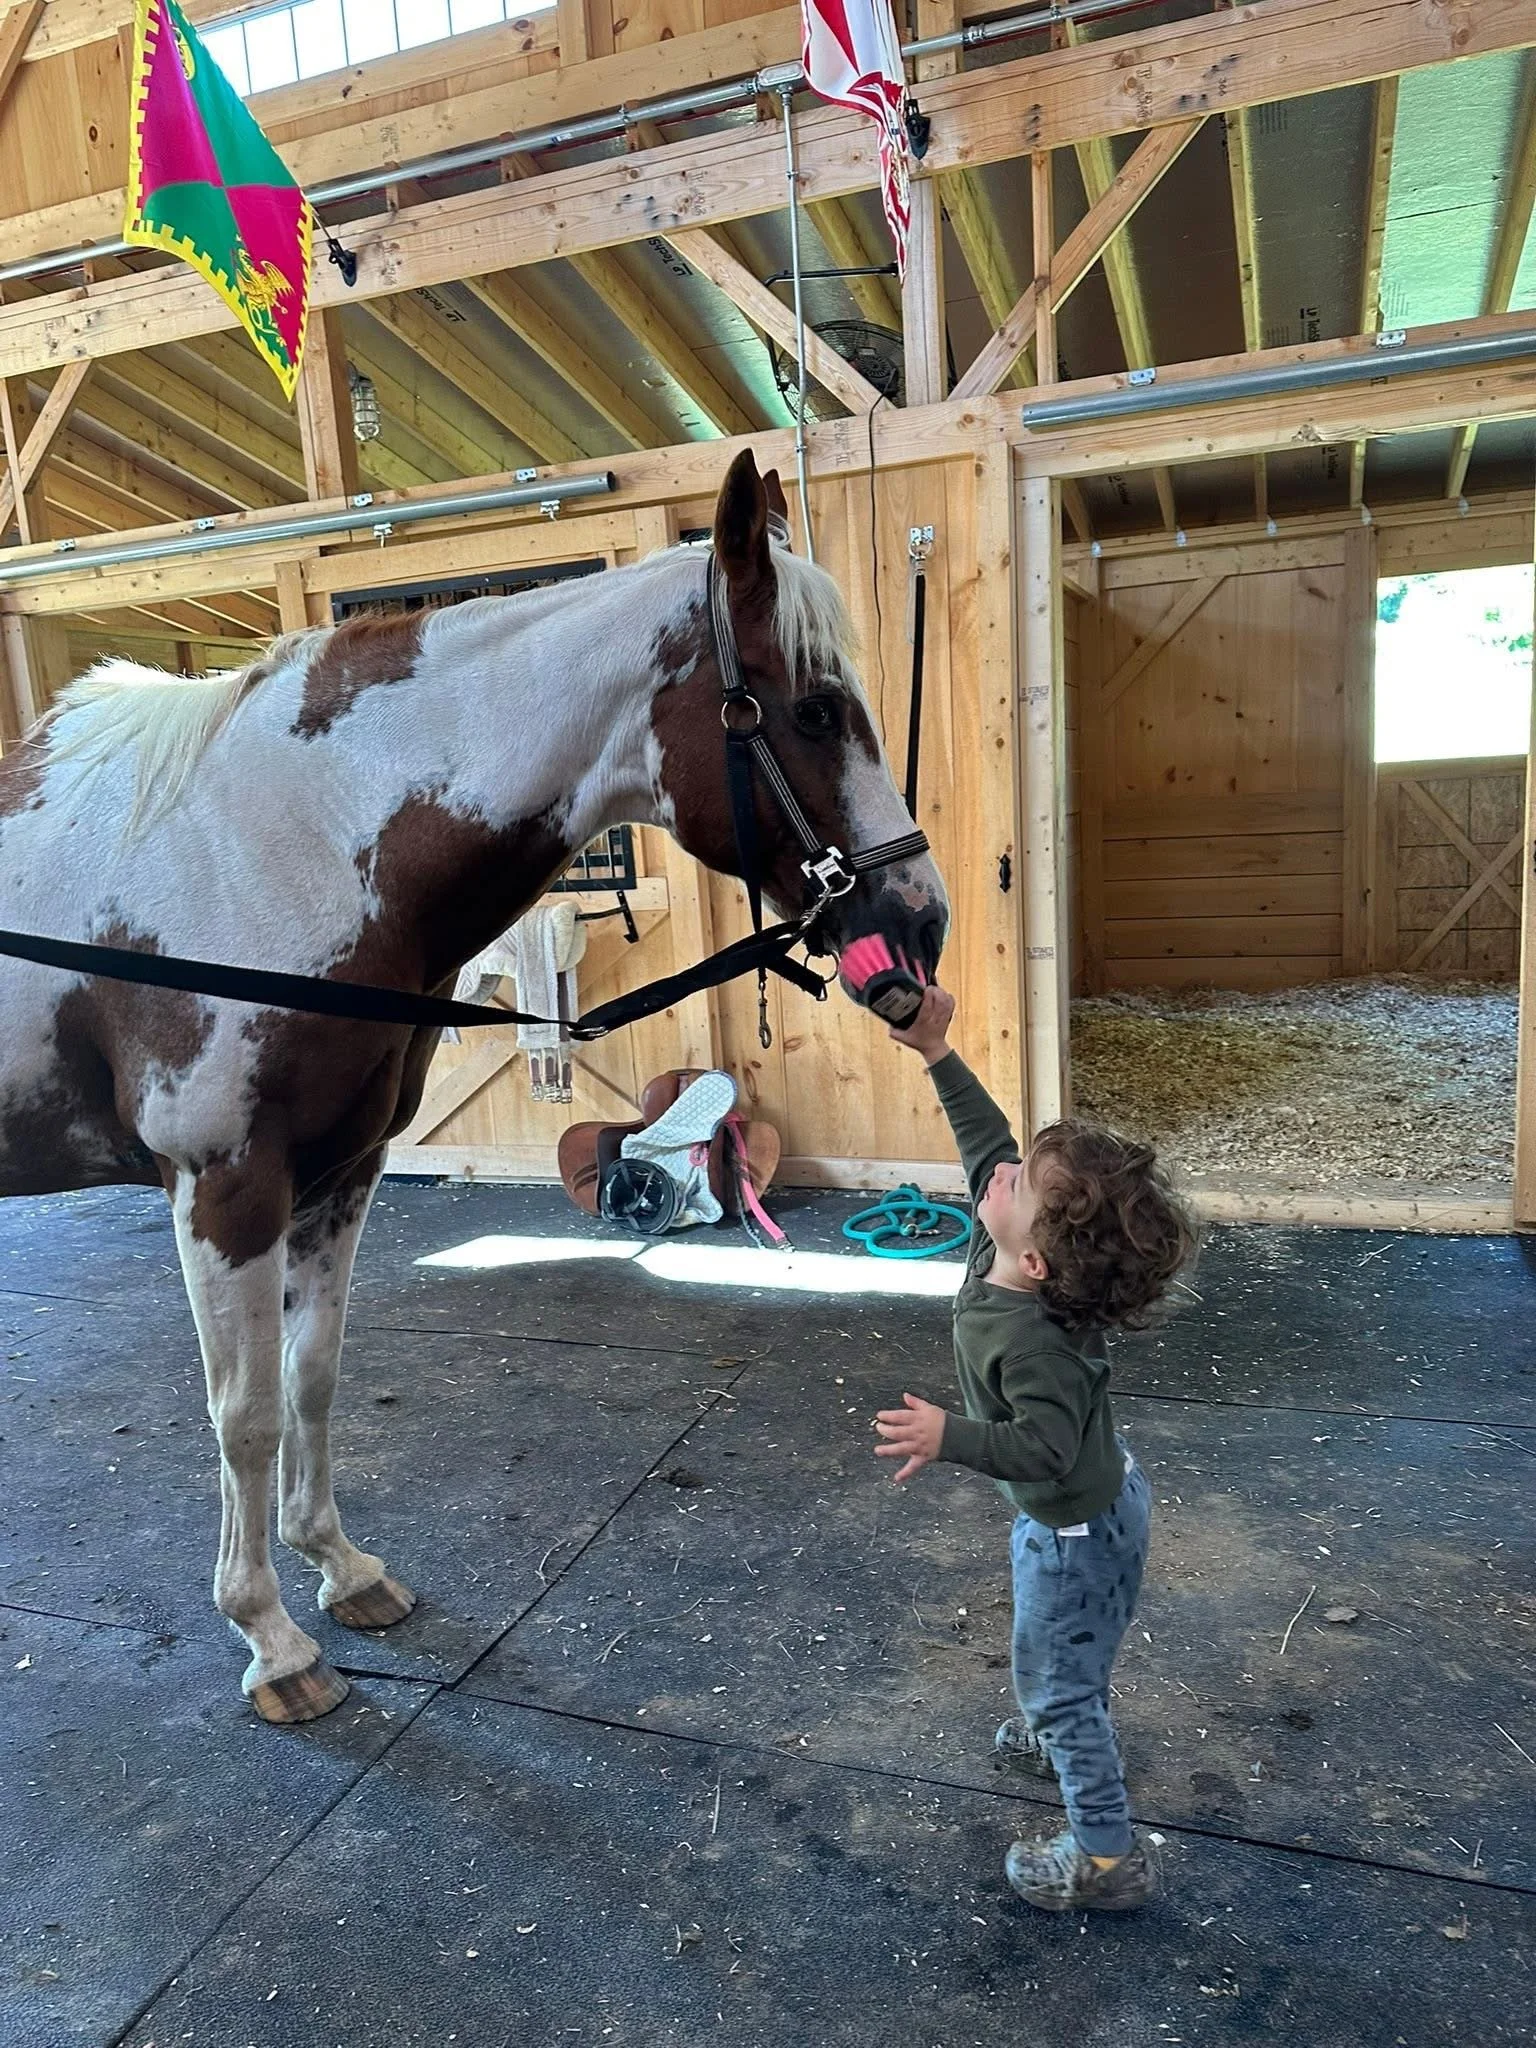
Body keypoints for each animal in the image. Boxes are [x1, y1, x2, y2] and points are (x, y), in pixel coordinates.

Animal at [0, 450, 948, 1722]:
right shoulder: (223, 1187)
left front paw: (340, 1567)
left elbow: (312, 1376)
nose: (921, 920)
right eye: (811, 709)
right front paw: (272, 1639)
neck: (285, 843)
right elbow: (244, 1414)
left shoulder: (338, 1174)